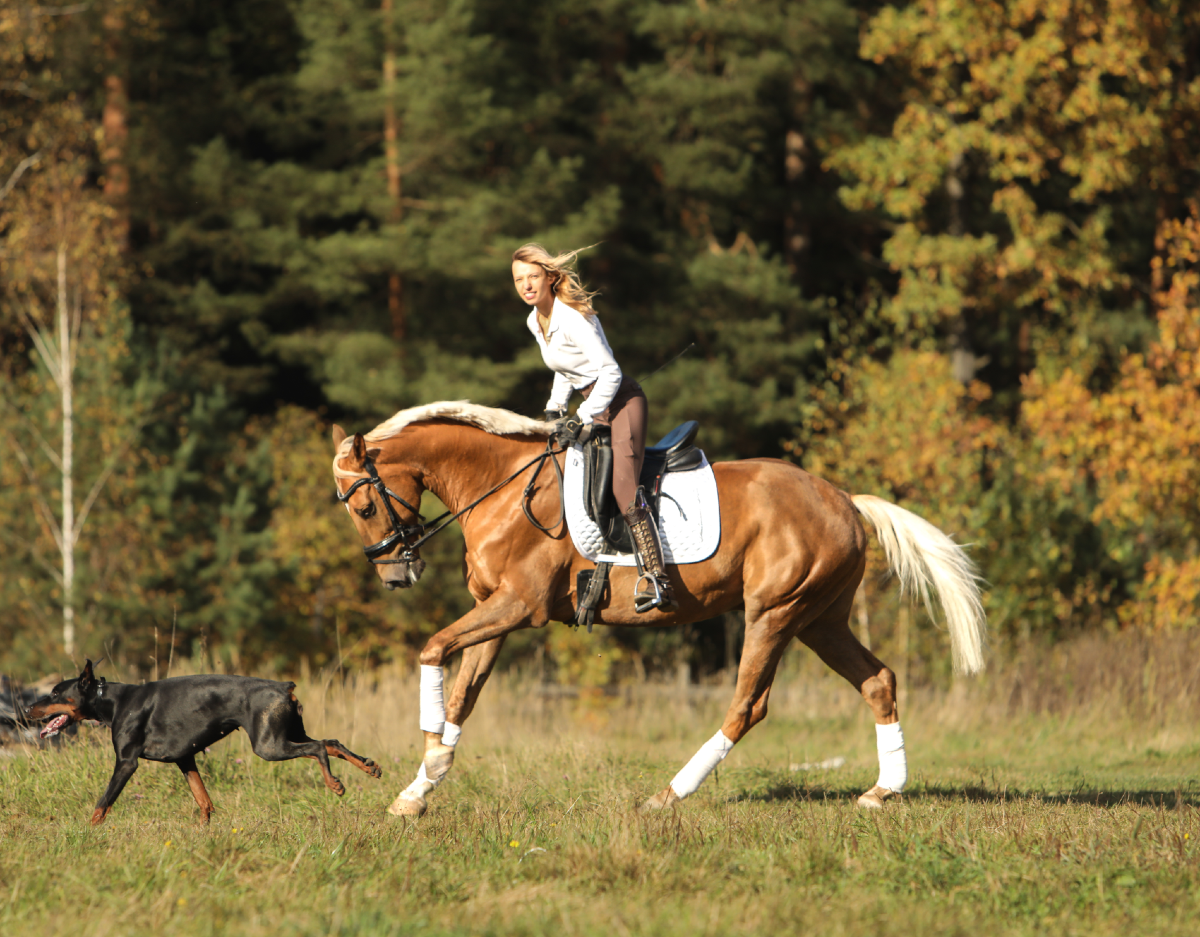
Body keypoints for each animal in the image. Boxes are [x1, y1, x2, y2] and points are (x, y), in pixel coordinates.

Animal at [330, 401, 986, 816]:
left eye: (362, 506)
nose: (396, 575)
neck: (504, 485)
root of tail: (845, 499)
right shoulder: (495, 612)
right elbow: (463, 695)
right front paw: (420, 788)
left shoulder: (519, 606)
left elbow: (432, 649)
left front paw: (427, 756)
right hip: (819, 620)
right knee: (878, 681)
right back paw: (883, 792)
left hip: (774, 612)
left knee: (748, 705)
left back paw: (670, 795)